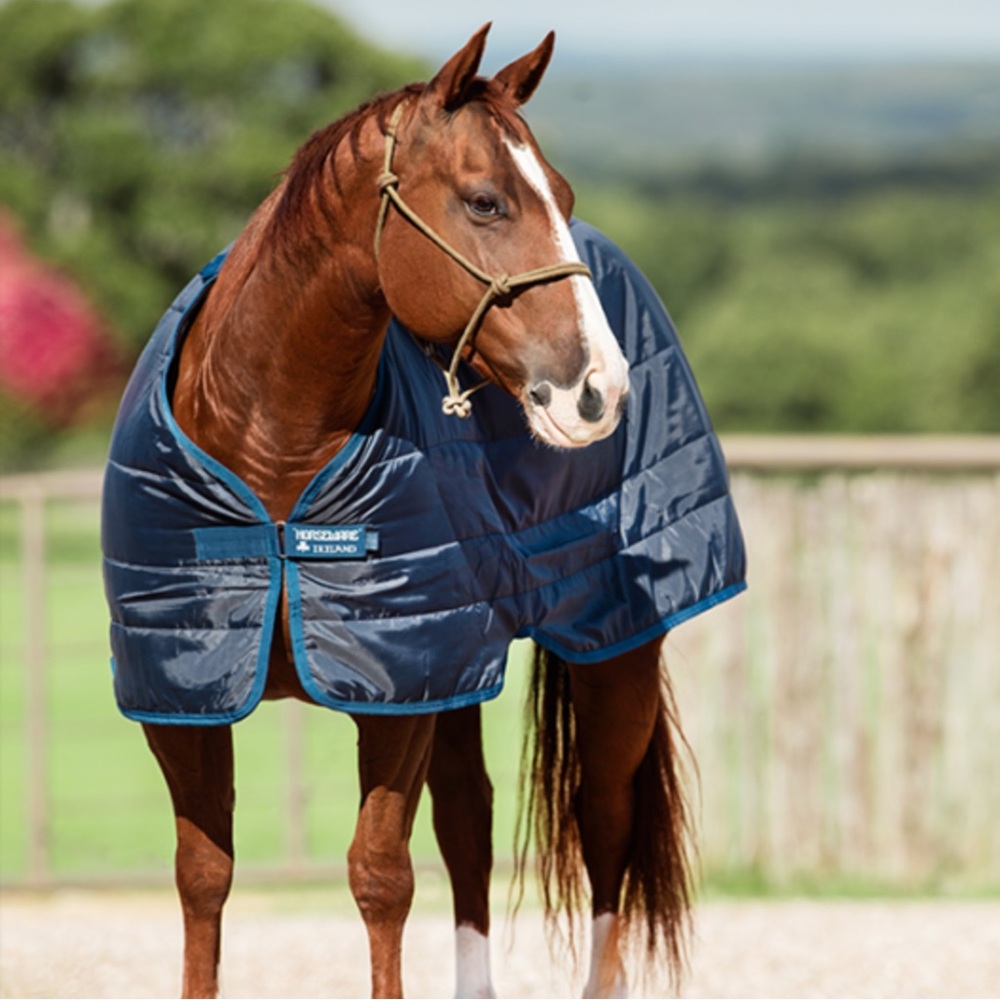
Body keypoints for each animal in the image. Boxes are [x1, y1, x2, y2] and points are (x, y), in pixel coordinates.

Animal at [102, 24, 745, 999]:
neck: (272, 459)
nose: (601, 389)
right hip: (461, 668)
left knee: (605, 825)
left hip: (614, 652)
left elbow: (381, 877)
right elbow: (203, 877)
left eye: (561, 194)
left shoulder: (397, 694)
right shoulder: (185, 696)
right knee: (471, 823)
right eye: (485, 201)